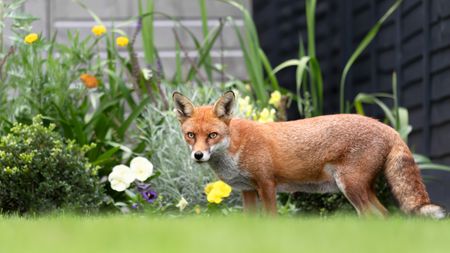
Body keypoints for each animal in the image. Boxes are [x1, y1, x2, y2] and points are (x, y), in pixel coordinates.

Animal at [172, 91, 446, 219]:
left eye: (212, 135)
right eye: (190, 135)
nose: (198, 155)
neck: (236, 148)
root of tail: (389, 128)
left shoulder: (266, 184)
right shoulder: (248, 190)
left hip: (351, 187)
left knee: (373, 216)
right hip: (361, 189)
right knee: (386, 215)